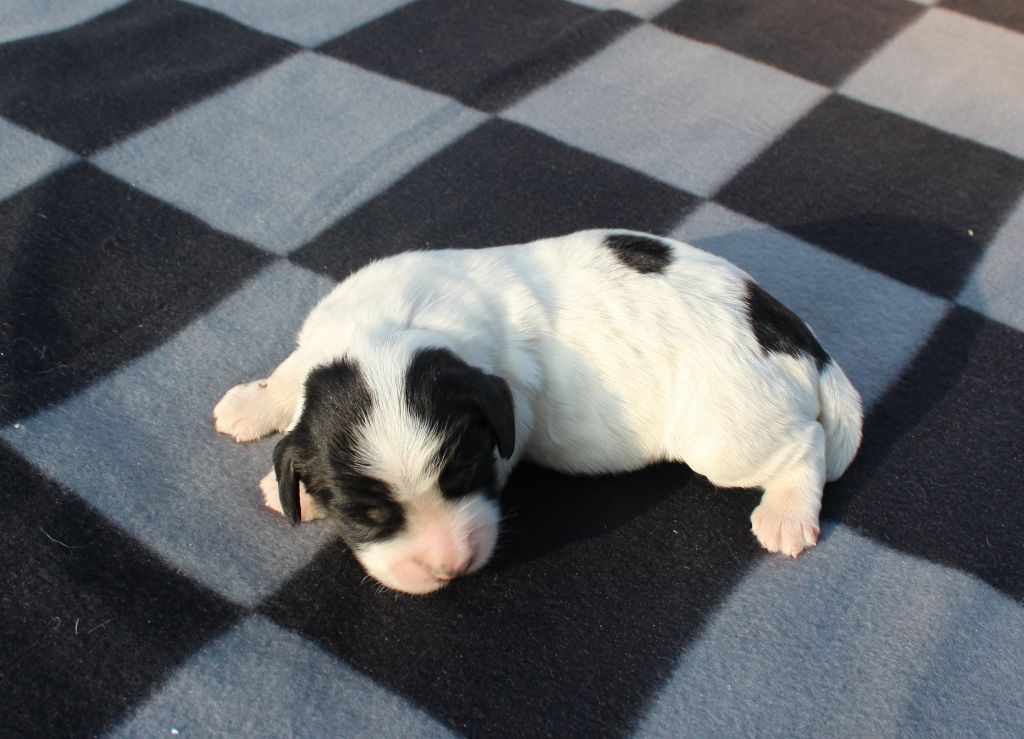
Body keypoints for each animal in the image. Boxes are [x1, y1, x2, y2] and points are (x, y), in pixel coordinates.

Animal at [214, 229, 862, 594]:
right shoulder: (326, 341)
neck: (396, 327)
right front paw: (259, 407)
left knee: (802, 444)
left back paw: (786, 513)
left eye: (468, 474)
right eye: (366, 515)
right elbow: (293, 372)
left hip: (724, 434)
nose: (449, 567)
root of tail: (793, 337)